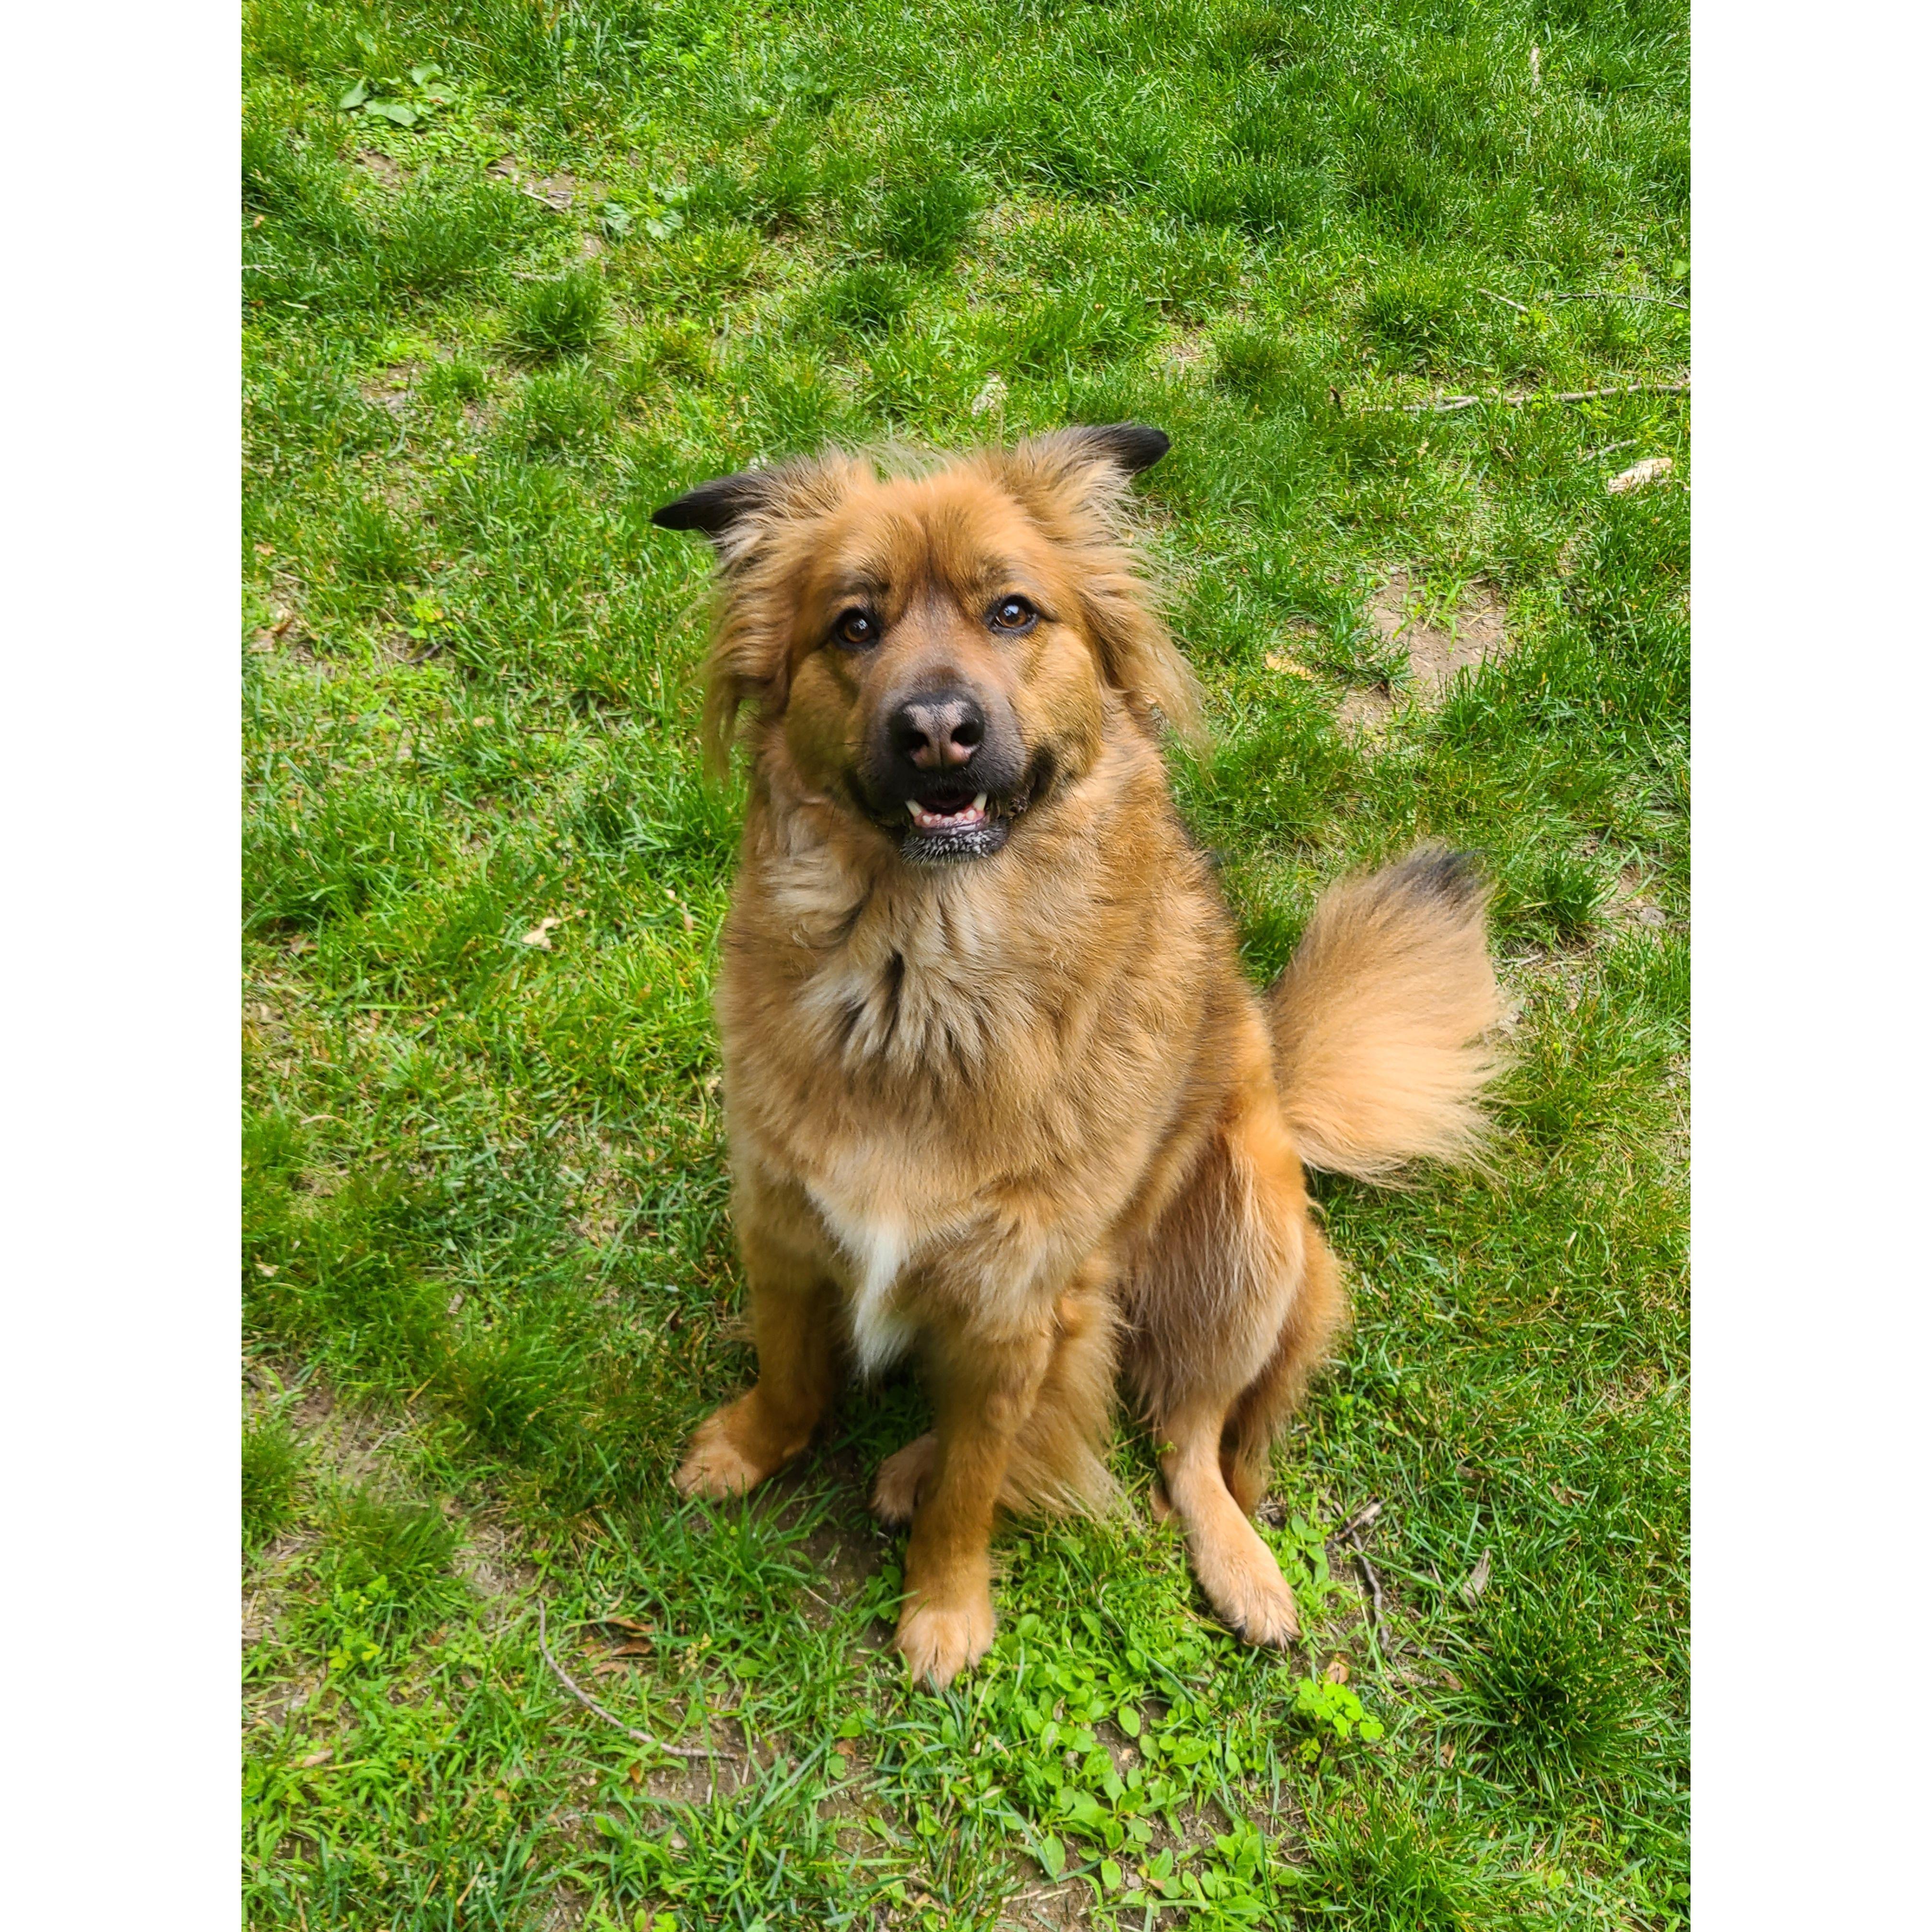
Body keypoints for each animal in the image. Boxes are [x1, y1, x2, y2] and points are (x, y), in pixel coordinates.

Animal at [652, 425, 1501, 1688]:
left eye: (1012, 612)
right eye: (853, 625)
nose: (937, 730)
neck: (921, 984)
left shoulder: (1019, 1303)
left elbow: (974, 1487)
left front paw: (946, 1611)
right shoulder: (785, 1219)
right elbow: (791, 1369)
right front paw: (753, 1446)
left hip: (1246, 1227)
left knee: (1190, 1437)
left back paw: (1231, 1563)